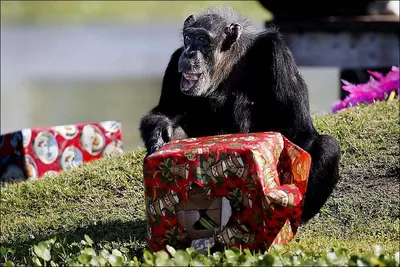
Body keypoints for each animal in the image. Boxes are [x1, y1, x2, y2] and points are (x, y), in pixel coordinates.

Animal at [140, 5, 340, 224]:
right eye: (188, 37)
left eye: (203, 39)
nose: (190, 52)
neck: (228, 63)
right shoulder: (174, 62)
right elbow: (166, 110)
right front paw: (159, 132)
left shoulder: (278, 54)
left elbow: (298, 128)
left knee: (327, 146)